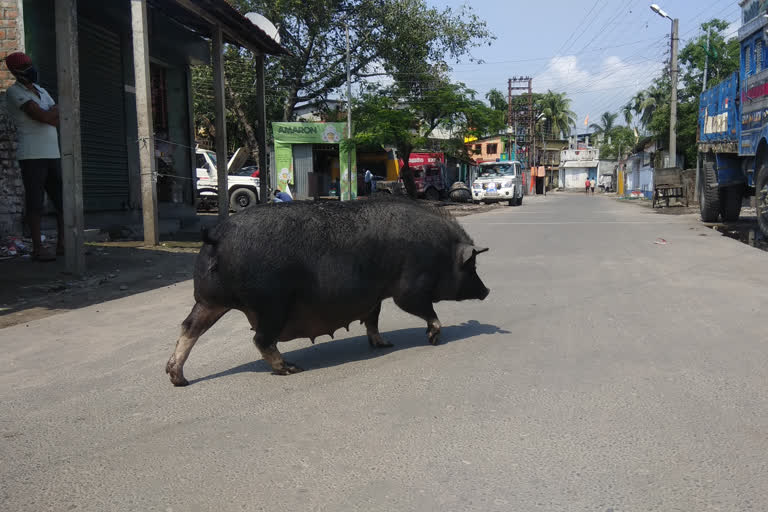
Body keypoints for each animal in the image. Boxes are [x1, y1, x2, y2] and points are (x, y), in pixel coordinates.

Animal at [165, 196, 488, 384]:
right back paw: (291, 369)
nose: (486, 292)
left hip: (209, 300)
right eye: (472, 266)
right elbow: (421, 307)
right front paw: (433, 339)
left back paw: (177, 378)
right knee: (260, 340)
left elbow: (373, 319)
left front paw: (384, 344)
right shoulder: (410, 285)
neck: (443, 254)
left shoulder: (373, 295)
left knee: (188, 327)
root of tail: (215, 236)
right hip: (270, 303)